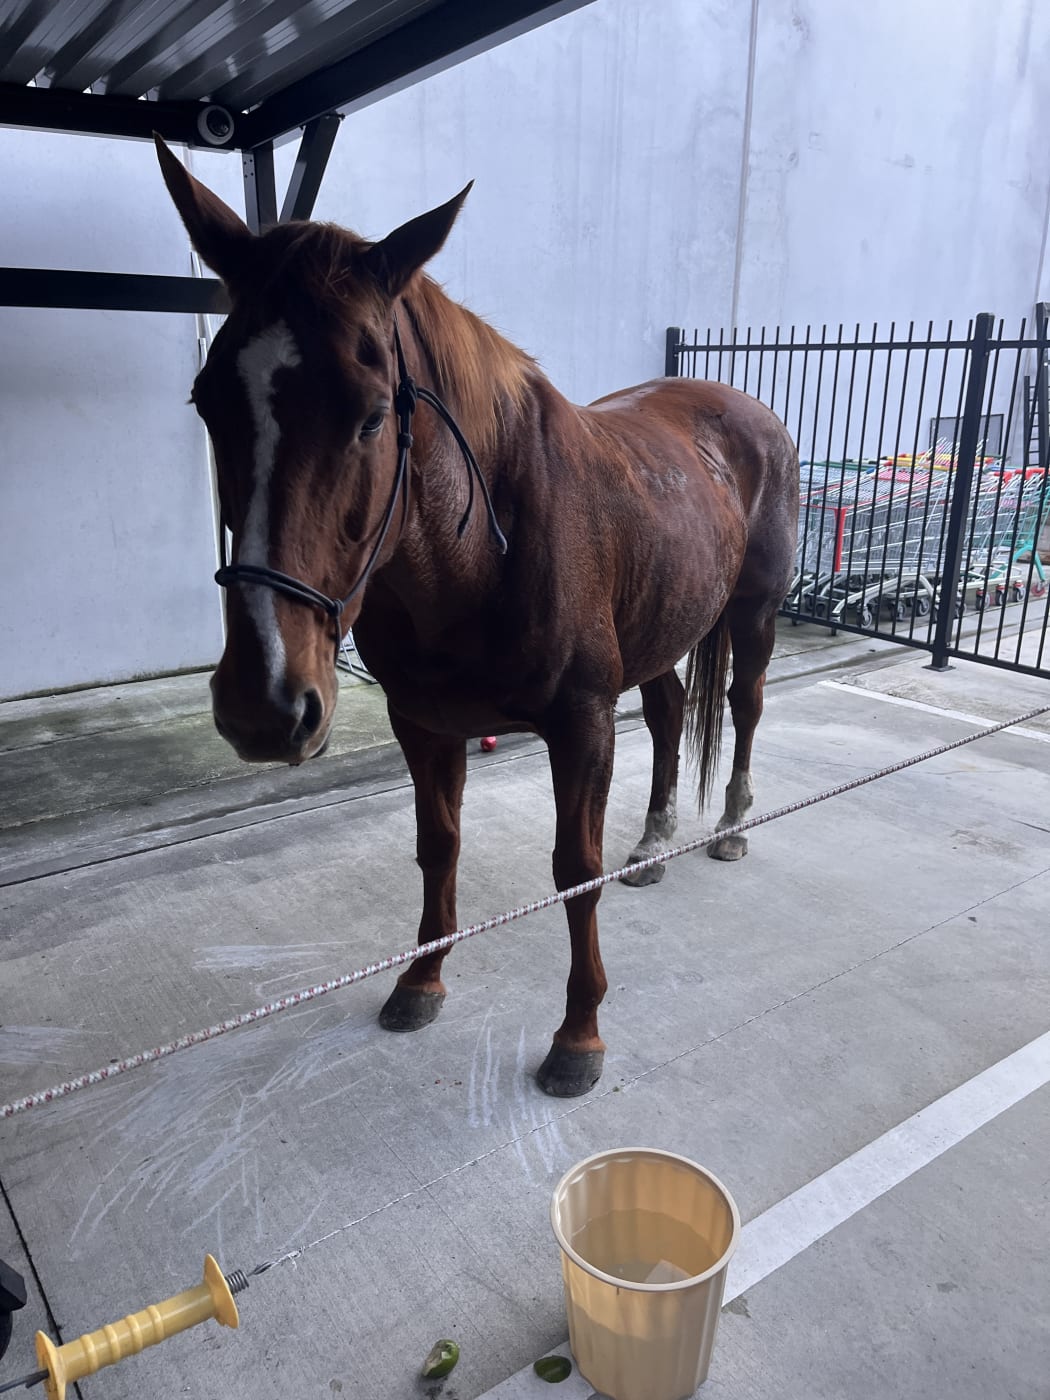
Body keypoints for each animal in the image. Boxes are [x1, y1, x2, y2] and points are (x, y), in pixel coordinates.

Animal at [155, 136, 799, 1098]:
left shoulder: (580, 722)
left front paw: (579, 1034)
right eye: (207, 401)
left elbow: (574, 870)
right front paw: (420, 982)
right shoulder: (423, 724)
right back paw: (654, 841)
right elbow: (440, 845)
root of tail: (749, 412)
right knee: (670, 710)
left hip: (754, 612)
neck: (476, 557)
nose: (264, 704)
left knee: (745, 705)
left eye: (371, 416)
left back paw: (729, 826)